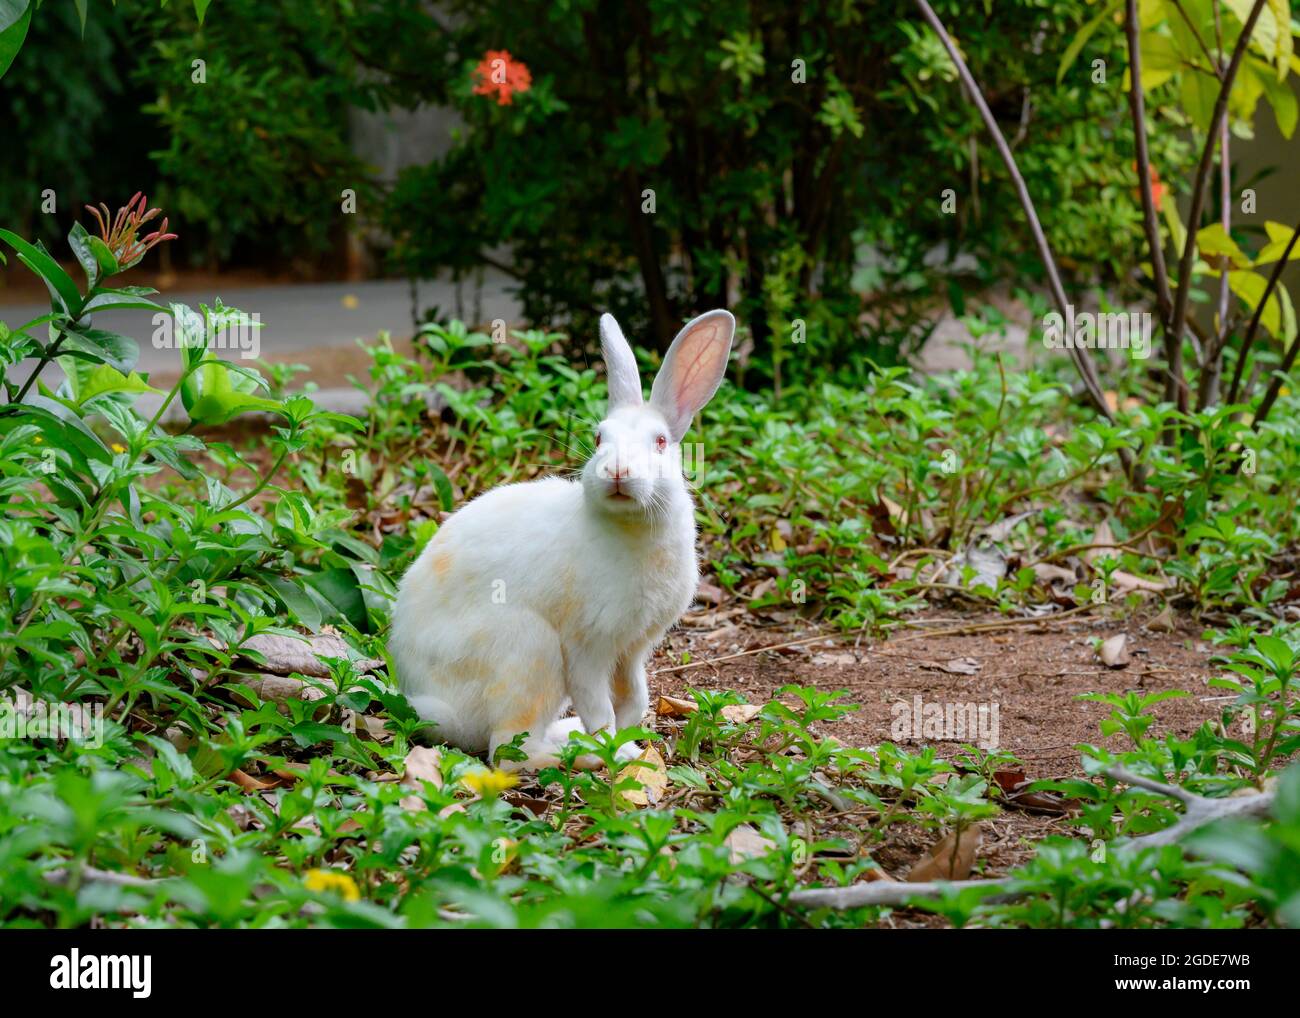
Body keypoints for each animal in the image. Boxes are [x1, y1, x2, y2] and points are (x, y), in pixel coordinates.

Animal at [390, 309, 736, 771]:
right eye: (599, 438)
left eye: (660, 442)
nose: (617, 472)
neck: (630, 527)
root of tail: (445, 713)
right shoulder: (583, 647)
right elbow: (599, 708)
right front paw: (616, 752)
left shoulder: (633, 650)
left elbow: (634, 698)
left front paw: (629, 740)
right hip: (529, 650)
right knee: (508, 752)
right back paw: (580, 753)